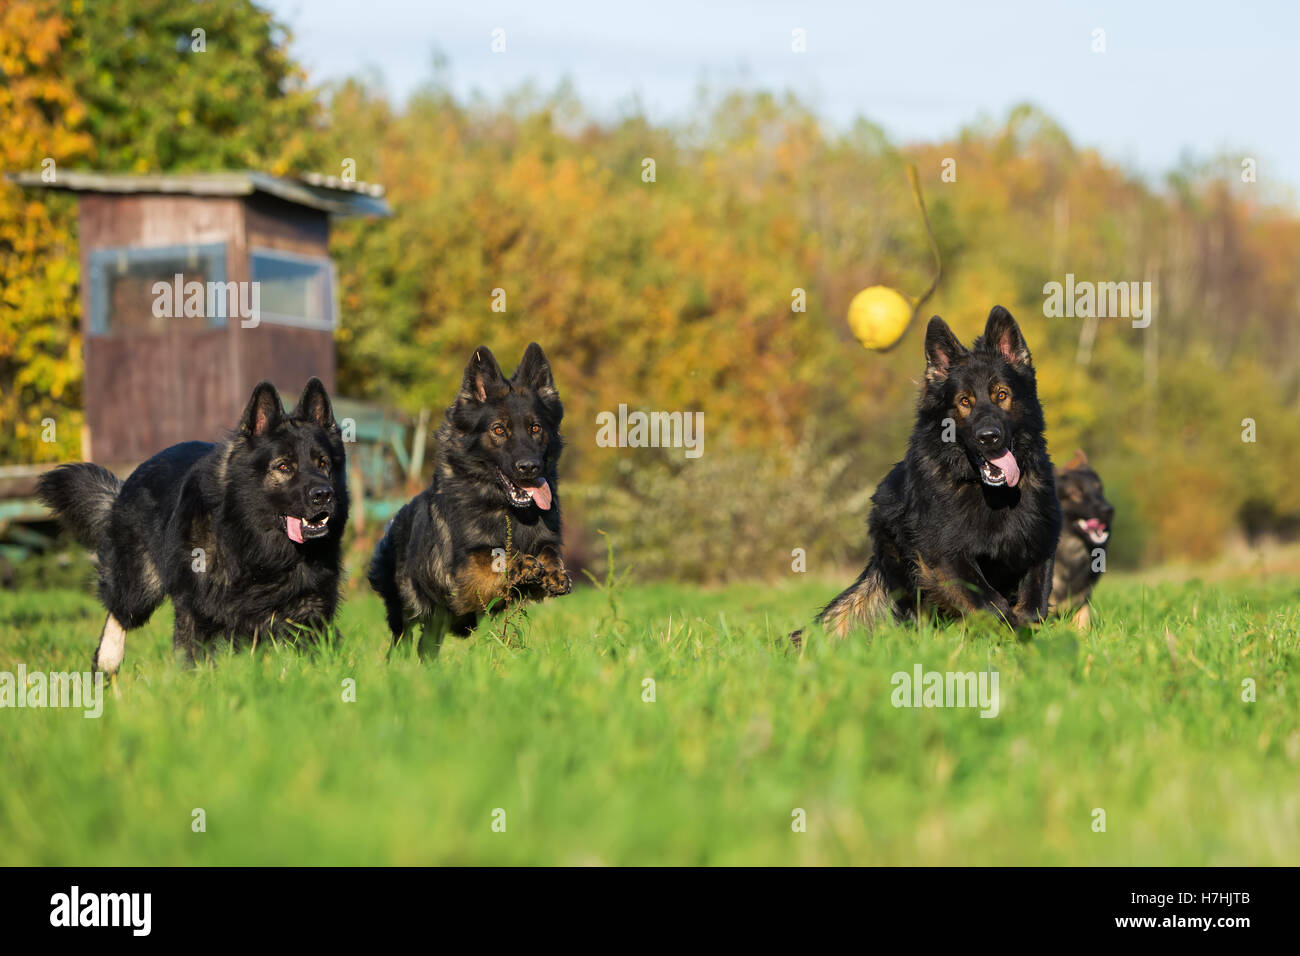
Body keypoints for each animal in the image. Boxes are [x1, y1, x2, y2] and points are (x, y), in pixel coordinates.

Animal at [37, 382, 348, 671]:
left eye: (323, 464)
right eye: (284, 467)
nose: (324, 495)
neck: (253, 544)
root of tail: (126, 484)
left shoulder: (308, 610)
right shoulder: (196, 608)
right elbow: (192, 658)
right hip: (141, 585)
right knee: (119, 611)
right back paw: (107, 661)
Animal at [366, 340, 569, 655]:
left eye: (536, 428)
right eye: (499, 430)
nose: (530, 467)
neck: (508, 510)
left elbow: (549, 550)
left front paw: (554, 571)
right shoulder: (463, 575)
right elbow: (491, 557)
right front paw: (520, 562)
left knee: (426, 645)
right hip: (406, 612)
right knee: (402, 640)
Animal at [806, 306, 1060, 639]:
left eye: (1002, 395)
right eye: (964, 401)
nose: (989, 437)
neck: (989, 493)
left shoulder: (1040, 541)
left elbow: (1033, 606)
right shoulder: (943, 557)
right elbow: (991, 603)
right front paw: (1008, 632)